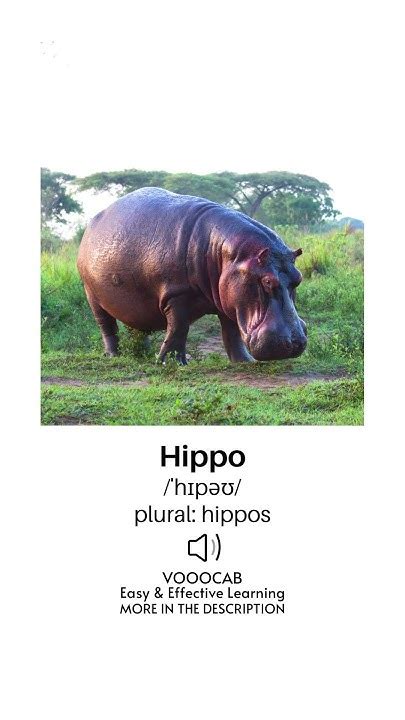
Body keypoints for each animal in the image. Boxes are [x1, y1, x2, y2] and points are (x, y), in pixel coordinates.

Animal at [77, 187, 307, 363]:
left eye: (298, 278)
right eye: (267, 281)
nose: (295, 342)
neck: (224, 252)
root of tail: (92, 224)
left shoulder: (229, 299)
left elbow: (231, 334)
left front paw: (244, 361)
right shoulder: (177, 294)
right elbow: (179, 329)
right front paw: (171, 363)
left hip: (135, 303)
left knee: (137, 326)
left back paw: (143, 354)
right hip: (92, 295)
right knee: (107, 327)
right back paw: (113, 355)